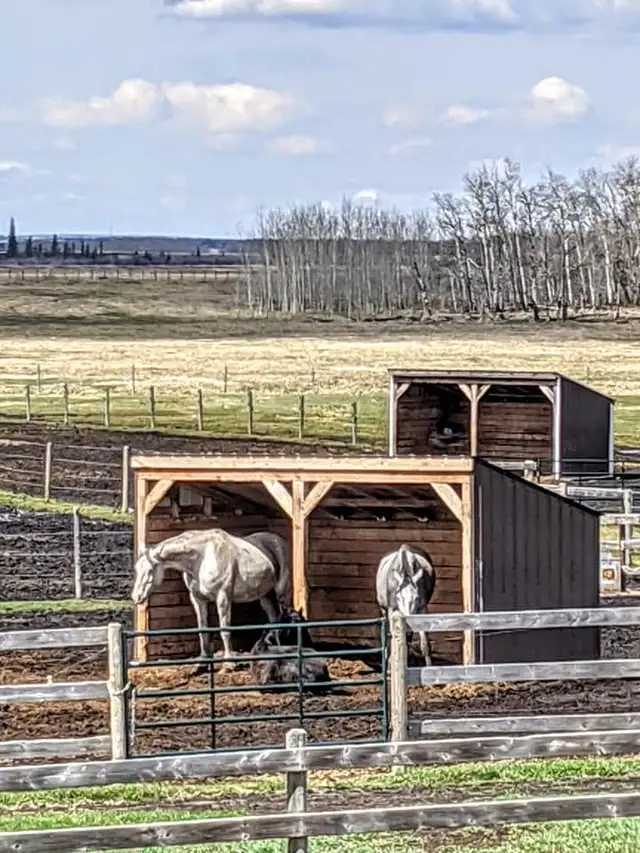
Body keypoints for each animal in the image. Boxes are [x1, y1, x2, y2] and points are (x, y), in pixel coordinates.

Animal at [131, 528, 290, 673]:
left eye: (150, 570)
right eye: (137, 569)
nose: (136, 596)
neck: (202, 557)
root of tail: (279, 541)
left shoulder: (223, 597)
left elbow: (225, 630)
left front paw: (229, 663)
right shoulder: (198, 599)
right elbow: (203, 631)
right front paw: (202, 663)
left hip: (282, 593)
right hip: (266, 596)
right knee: (274, 619)